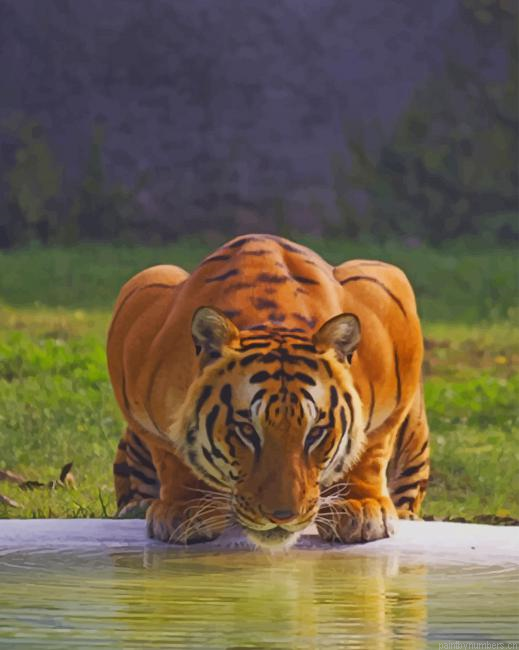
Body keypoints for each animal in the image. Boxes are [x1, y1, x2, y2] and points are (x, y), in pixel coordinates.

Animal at [107, 234, 429, 548]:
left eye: (316, 433)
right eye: (247, 431)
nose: (282, 516)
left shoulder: (389, 297)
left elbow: (371, 447)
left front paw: (361, 508)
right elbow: (171, 454)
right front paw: (185, 510)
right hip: (156, 274)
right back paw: (137, 507)